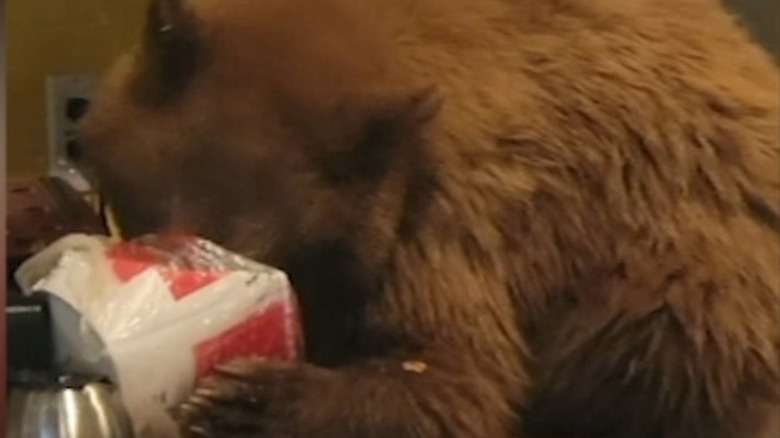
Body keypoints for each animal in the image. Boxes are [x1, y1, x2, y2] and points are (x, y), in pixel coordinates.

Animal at [80, 0, 780, 436]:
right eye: (141, 215)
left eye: (265, 248)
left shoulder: (446, 213)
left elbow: (458, 380)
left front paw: (249, 399)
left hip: (683, 292)